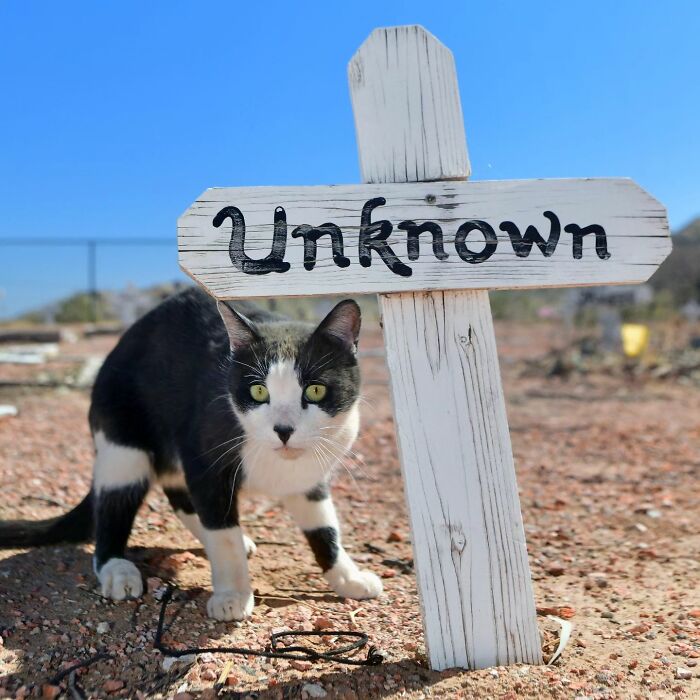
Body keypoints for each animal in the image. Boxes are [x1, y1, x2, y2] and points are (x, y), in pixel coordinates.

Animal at [0, 288, 382, 620]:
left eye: (315, 390)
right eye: (258, 391)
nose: (284, 429)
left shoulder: (310, 478)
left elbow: (325, 528)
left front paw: (348, 577)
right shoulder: (205, 460)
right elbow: (223, 535)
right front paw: (232, 595)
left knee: (179, 495)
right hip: (122, 443)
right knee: (113, 508)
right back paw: (117, 569)